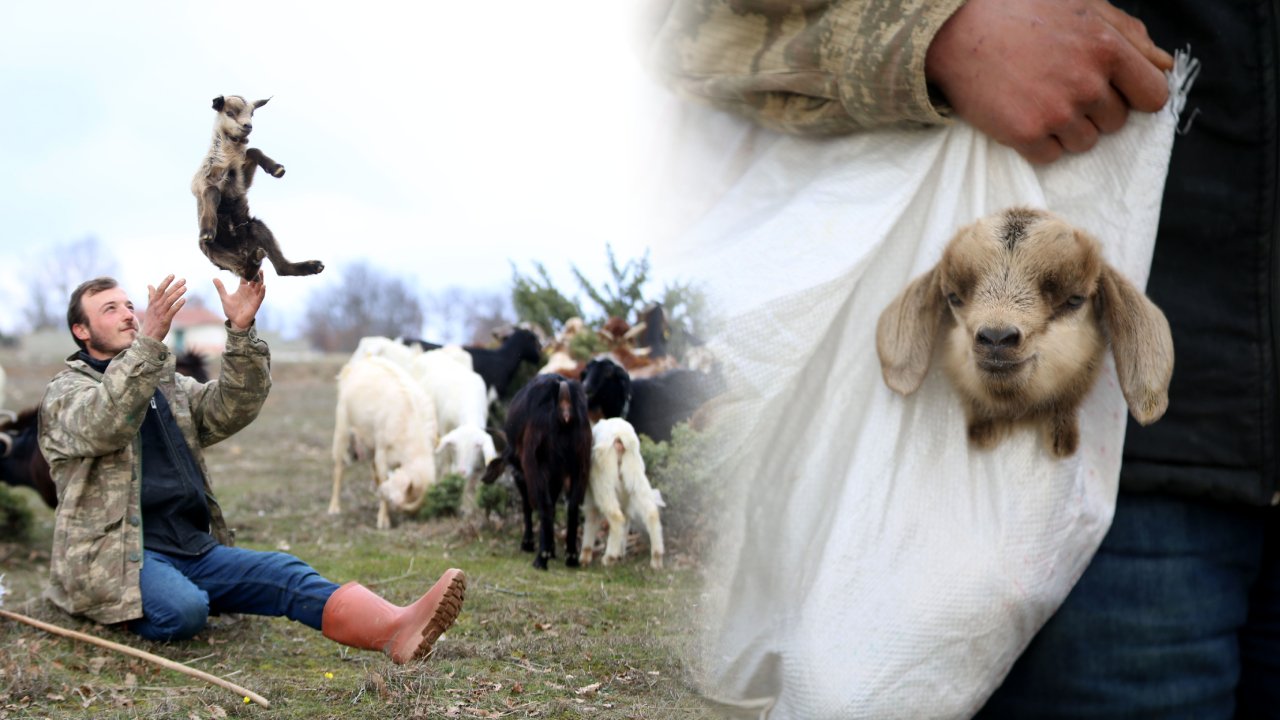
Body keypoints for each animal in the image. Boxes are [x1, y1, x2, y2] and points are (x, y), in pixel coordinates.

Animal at [194, 92, 327, 278]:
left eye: (252, 113)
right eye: (229, 112)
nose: (248, 126)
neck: (229, 158)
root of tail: (243, 250)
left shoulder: (242, 181)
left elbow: (252, 151)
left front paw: (277, 169)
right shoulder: (202, 180)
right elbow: (212, 190)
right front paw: (207, 231)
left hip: (257, 228)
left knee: (280, 268)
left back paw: (311, 265)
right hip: (215, 252)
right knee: (246, 272)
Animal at [330, 353, 440, 527]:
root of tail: (351, 368)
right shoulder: (382, 451)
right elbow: (382, 475)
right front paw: (383, 520)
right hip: (342, 428)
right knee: (338, 469)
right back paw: (334, 508)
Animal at [481, 371, 591, 568]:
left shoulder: (526, 471)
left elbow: (528, 504)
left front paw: (529, 543)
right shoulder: (557, 474)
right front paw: (553, 548)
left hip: (536, 463)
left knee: (544, 505)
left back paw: (541, 558)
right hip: (581, 463)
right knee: (572, 506)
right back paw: (571, 557)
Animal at [578, 417, 665, 568]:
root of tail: (621, 435)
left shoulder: (590, 494)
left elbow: (592, 518)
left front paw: (585, 557)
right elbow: (627, 518)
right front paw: (621, 553)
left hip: (603, 480)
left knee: (616, 517)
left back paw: (609, 557)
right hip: (635, 475)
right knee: (651, 512)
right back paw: (656, 558)